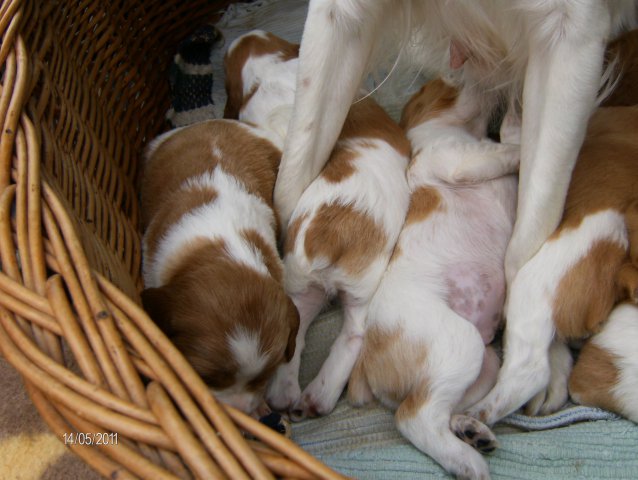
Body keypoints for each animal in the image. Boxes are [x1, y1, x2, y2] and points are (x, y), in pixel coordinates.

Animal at [345, 77, 519, 479]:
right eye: (448, 85)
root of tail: (368, 362)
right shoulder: (457, 159)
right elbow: (505, 150)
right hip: (460, 344)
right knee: (414, 418)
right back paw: (469, 462)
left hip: (484, 364)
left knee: (444, 410)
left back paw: (470, 430)